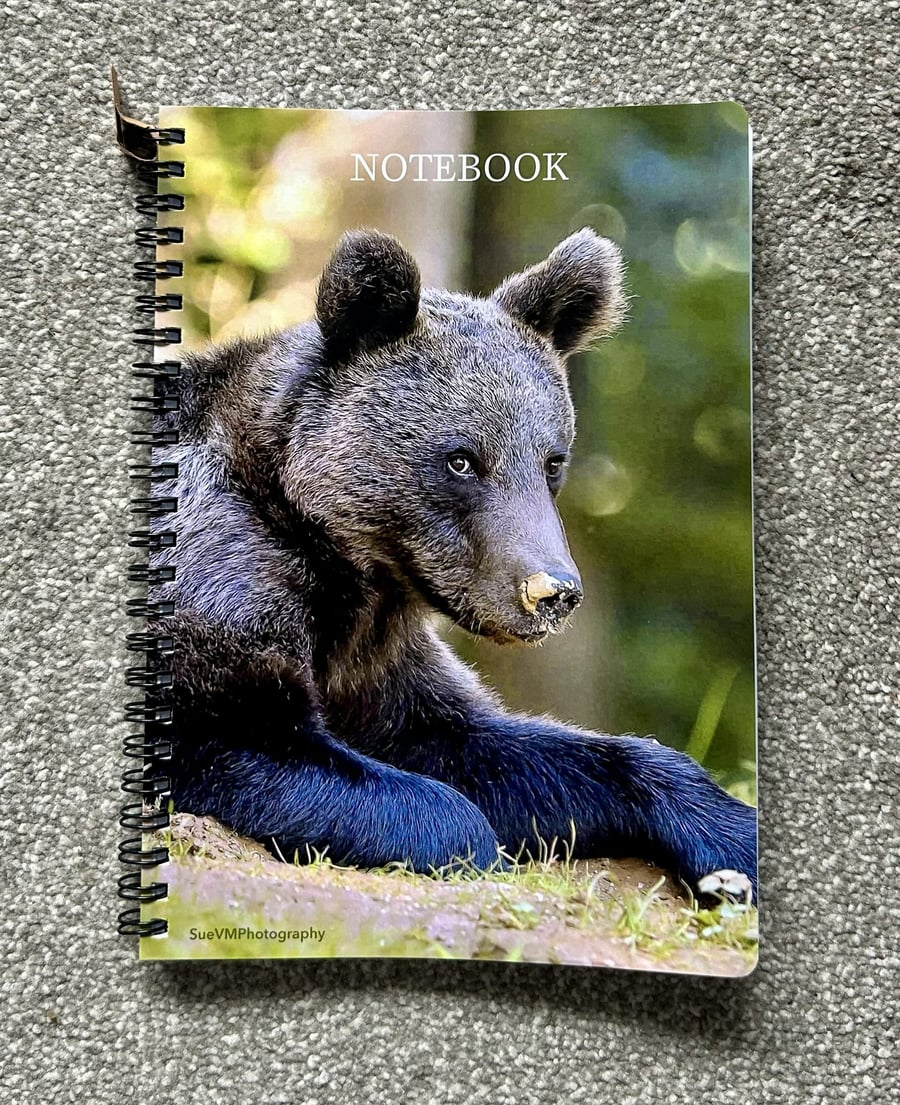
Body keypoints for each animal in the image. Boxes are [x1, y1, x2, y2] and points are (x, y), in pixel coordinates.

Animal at [147, 227, 757, 897]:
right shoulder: (226, 568)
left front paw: (733, 844)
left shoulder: (382, 662)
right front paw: (468, 841)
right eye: (462, 459)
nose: (551, 592)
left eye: (552, 460)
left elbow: (481, 743)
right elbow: (237, 731)